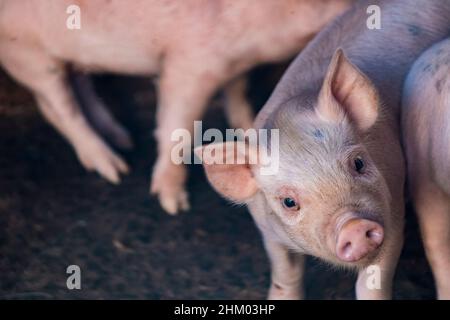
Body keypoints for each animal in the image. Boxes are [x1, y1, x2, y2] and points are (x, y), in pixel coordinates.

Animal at [0, 1, 354, 215]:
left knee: (80, 85)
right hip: (29, 56)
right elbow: (177, 127)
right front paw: (174, 205)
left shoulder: (234, 67)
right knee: (57, 108)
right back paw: (116, 168)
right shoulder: (189, 64)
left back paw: (122, 139)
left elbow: (237, 94)